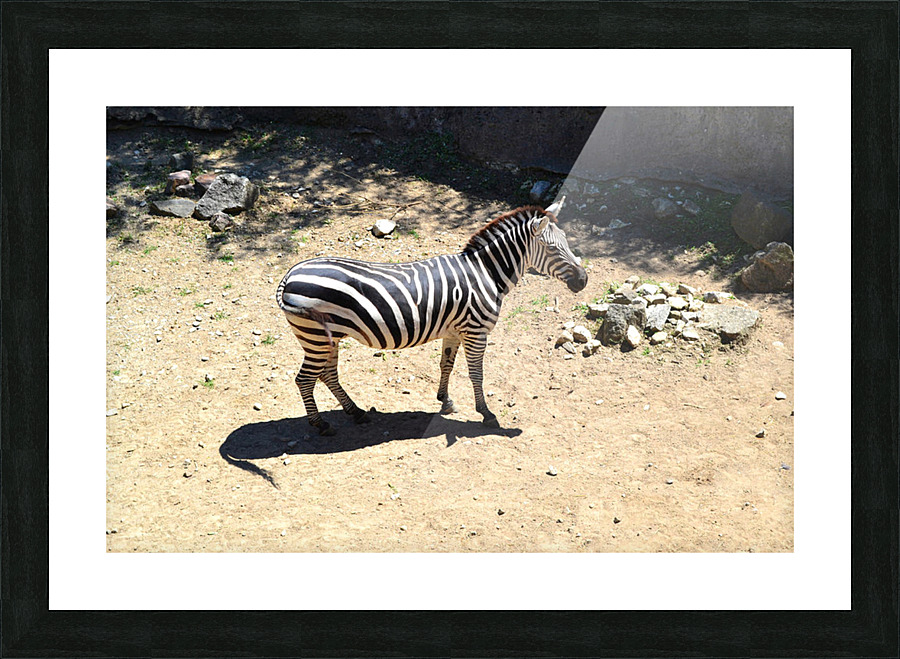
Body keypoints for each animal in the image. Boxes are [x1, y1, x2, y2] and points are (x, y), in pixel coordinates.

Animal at [276, 196, 587, 436]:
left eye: (566, 242)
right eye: (553, 248)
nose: (584, 280)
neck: (485, 273)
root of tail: (290, 274)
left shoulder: (454, 331)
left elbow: (446, 365)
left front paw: (445, 401)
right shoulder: (476, 332)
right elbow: (476, 373)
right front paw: (486, 413)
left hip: (328, 336)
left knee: (327, 374)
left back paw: (357, 412)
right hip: (316, 337)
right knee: (305, 379)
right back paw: (321, 424)